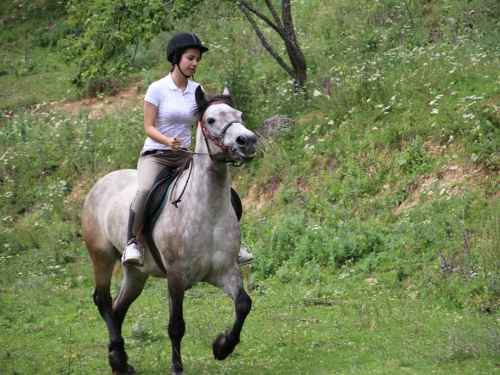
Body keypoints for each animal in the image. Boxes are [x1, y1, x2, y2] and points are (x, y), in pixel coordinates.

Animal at [81, 86, 258, 375]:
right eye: (210, 120)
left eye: (238, 114)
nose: (248, 141)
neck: (207, 210)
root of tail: (102, 182)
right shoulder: (176, 276)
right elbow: (176, 326)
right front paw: (177, 367)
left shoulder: (224, 270)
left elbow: (243, 304)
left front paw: (222, 346)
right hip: (101, 257)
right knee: (103, 300)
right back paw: (118, 357)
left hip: (136, 273)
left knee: (118, 307)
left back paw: (119, 361)